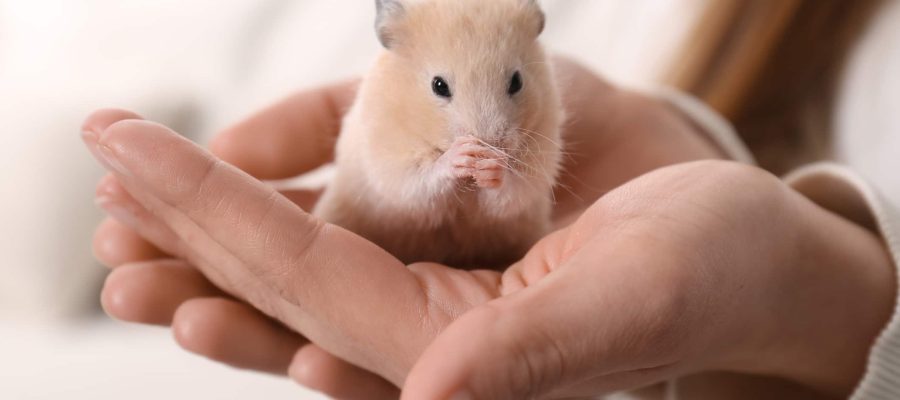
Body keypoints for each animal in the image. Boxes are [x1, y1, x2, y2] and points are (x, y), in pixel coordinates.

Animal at [312, 0, 560, 270]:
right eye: (438, 86)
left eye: (516, 82)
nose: (489, 144)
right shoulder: (390, 163)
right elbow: (422, 179)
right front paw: (463, 154)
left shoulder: (539, 160)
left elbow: (512, 192)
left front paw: (492, 164)